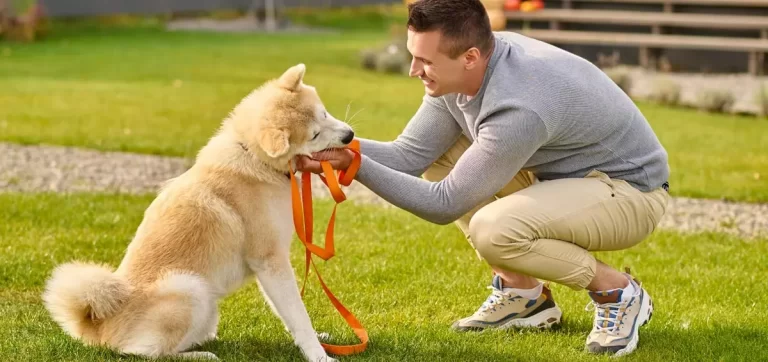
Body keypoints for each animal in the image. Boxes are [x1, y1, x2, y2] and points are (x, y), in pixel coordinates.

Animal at [42, 63, 354, 360]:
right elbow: (297, 313)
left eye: (324, 113)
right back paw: (200, 355)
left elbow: (292, 314)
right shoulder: (269, 260)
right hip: (189, 287)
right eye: (314, 135)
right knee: (142, 352)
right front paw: (319, 355)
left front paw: (319, 340)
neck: (256, 159)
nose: (349, 135)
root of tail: (98, 325)